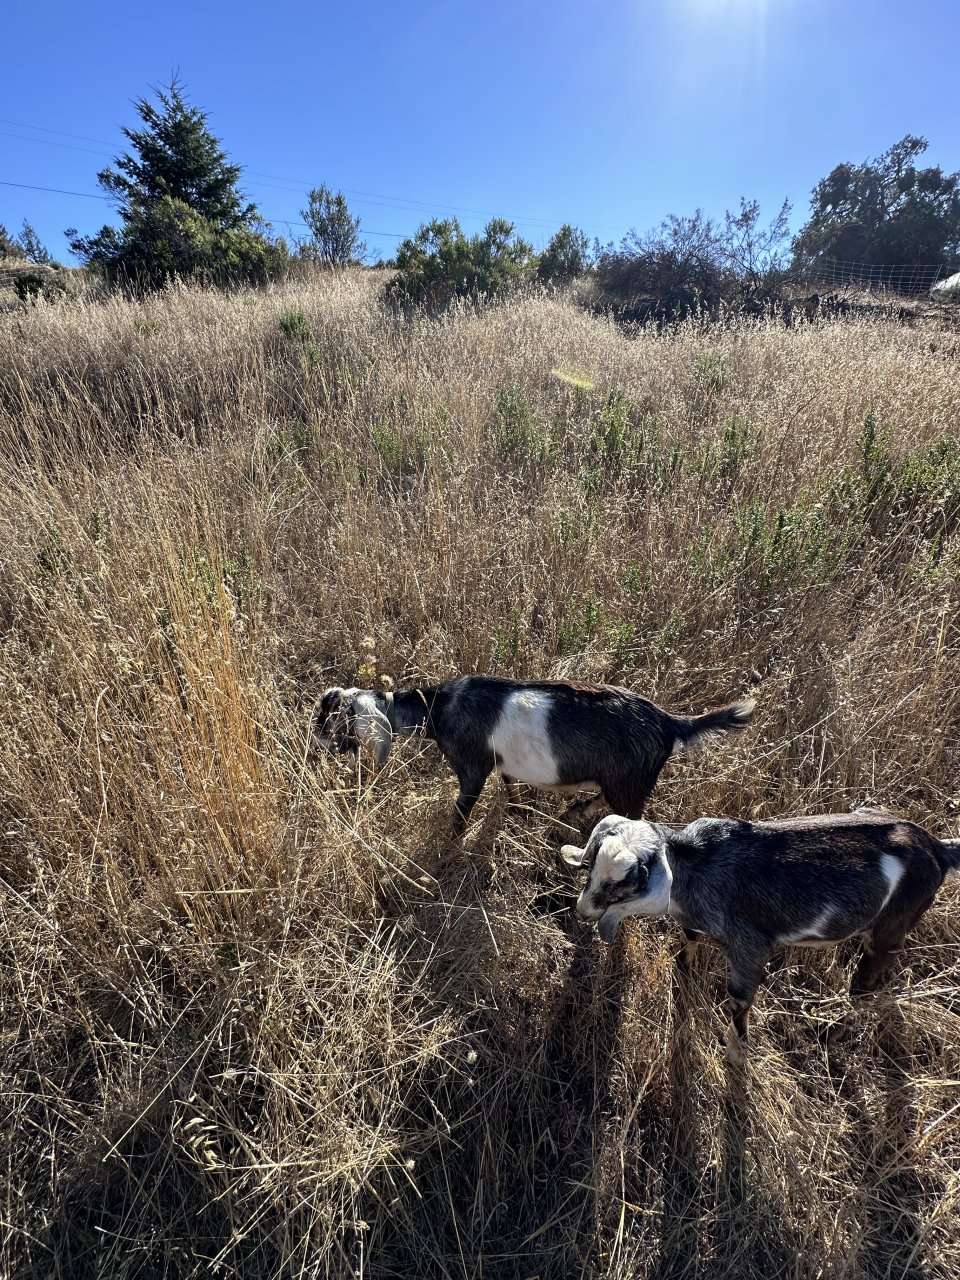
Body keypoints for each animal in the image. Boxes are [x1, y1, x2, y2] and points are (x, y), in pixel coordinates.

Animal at [320, 675, 757, 834]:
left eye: (333, 719)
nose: (317, 745)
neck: (438, 707)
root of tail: (669, 723)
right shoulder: (501, 766)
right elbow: (509, 784)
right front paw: (517, 811)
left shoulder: (472, 768)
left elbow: (462, 810)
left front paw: (450, 843)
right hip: (624, 783)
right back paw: (573, 812)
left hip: (631, 787)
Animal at [563, 808, 960, 1059]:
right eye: (592, 865)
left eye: (629, 883)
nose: (583, 910)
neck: (697, 866)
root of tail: (937, 850)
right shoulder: (693, 920)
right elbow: (689, 939)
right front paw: (683, 968)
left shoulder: (750, 945)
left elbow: (739, 998)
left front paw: (737, 1052)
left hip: (891, 928)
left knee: (868, 984)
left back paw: (837, 1030)